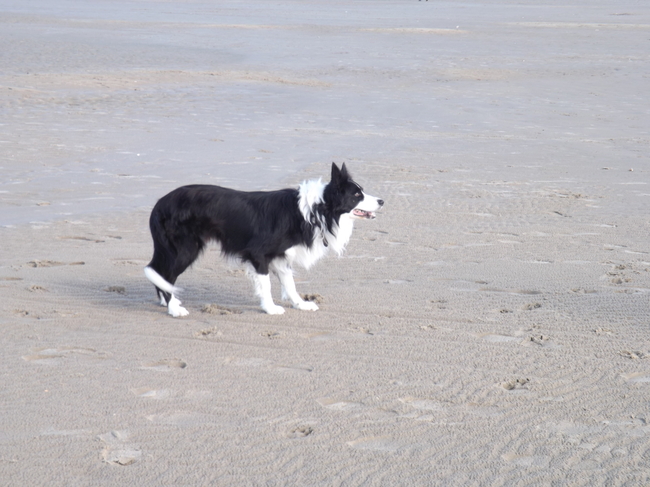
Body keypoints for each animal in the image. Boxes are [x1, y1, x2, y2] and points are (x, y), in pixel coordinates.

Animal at [144, 163, 384, 317]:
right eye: (357, 195)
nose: (382, 201)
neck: (315, 210)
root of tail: (159, 204)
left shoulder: (280, 256)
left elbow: (290, 282)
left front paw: (301, 304)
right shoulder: (259, 254)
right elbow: (266, 284)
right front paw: (271, 309)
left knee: (159, 271)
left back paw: (167, 302)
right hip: (185, 249)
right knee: (166, 274)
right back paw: (174, 308)